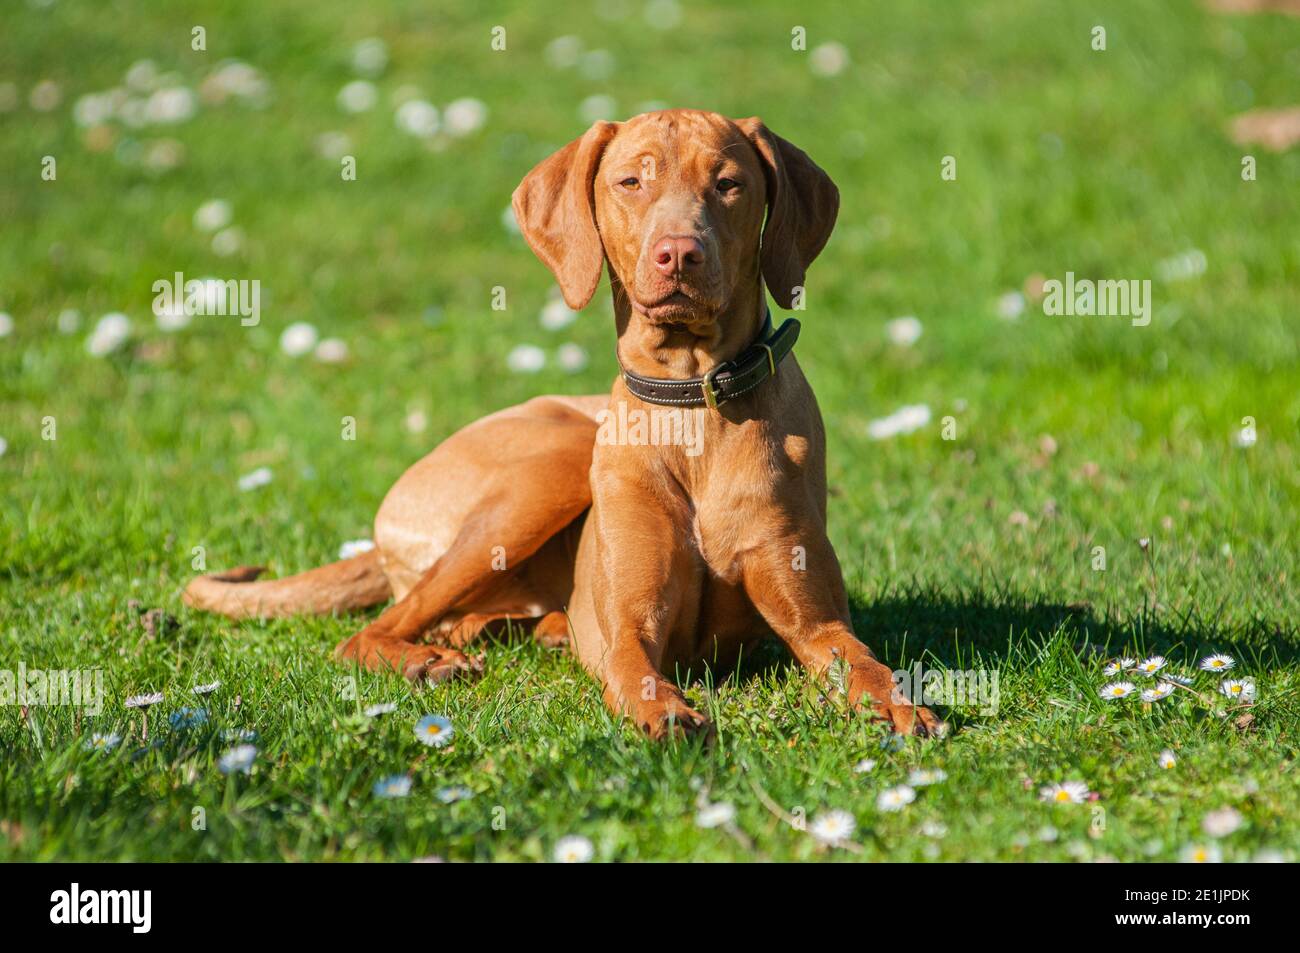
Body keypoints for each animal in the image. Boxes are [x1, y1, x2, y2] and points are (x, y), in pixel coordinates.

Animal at [185, 109, 935, 738]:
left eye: (729, 184)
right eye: (631, 181)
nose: (678, 253)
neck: (691, 408)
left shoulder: (816, 621)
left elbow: (863, 660)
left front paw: (899, 703)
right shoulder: (630, 625)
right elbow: (633, 668)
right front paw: (663, 711)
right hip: (549, 471)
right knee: (370, 631)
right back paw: (426, 659)